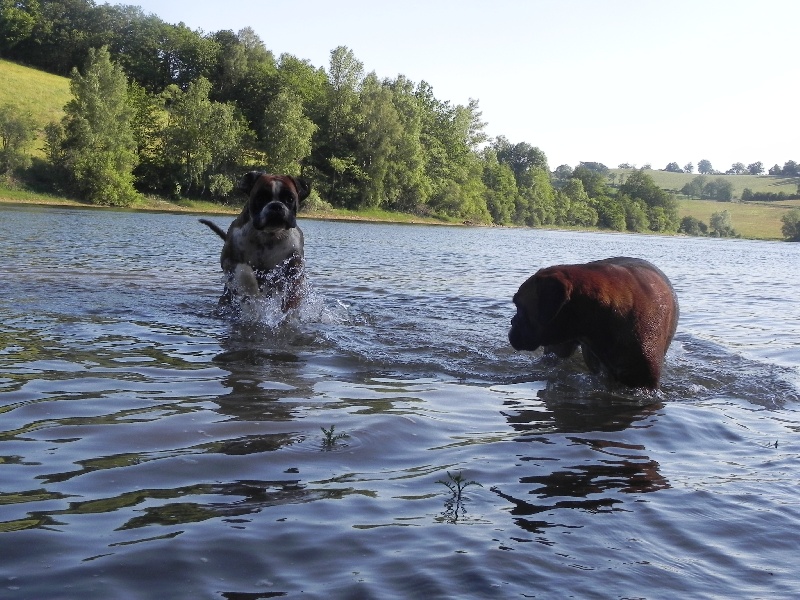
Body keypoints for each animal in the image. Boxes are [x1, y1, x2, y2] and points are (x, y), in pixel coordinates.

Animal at [200, 170, 310, 308]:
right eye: (261, 198)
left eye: (289, 199)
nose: (276, 206)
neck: (268, 237)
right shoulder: (228, 259)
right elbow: (245, 272)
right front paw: (252, 292)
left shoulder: (295, 264)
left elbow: (294, 290)